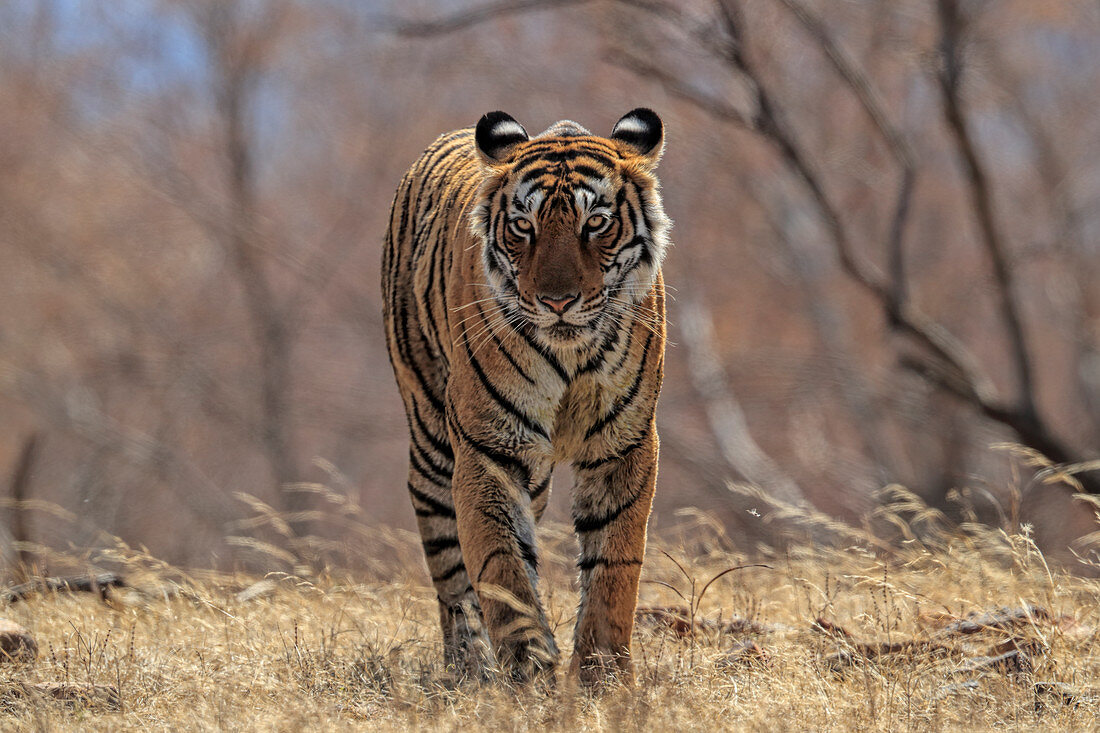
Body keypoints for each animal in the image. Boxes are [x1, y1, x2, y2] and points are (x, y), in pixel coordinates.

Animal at [378, 108, 668, 686]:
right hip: (430, 433)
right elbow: (502, 567)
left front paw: (603, 678)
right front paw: (530, 673)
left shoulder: (623, 445)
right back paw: (470, 668)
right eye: (523, 227)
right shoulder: (490, 450)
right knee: (449, 565)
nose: (557, 301)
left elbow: (613, 568)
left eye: (595, 223)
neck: (572, 357)